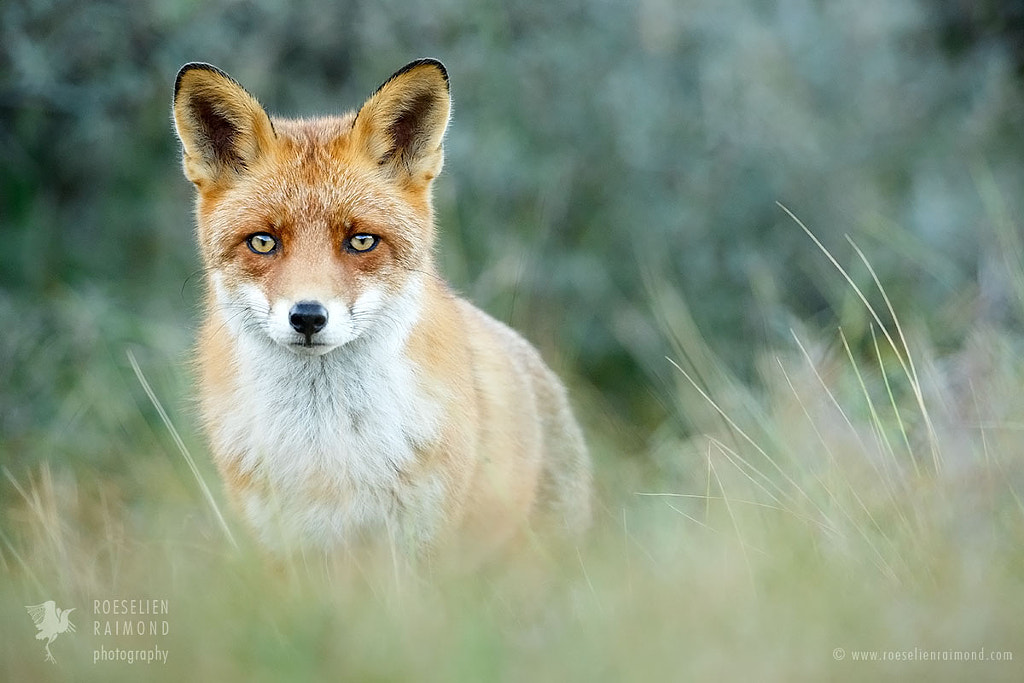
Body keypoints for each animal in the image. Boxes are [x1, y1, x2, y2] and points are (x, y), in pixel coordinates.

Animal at [172, 58, 593, 561]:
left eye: (361, 241)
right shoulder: (283, 544)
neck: (324, 442)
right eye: (263, 242)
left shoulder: (419, 538)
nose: (308, 316)